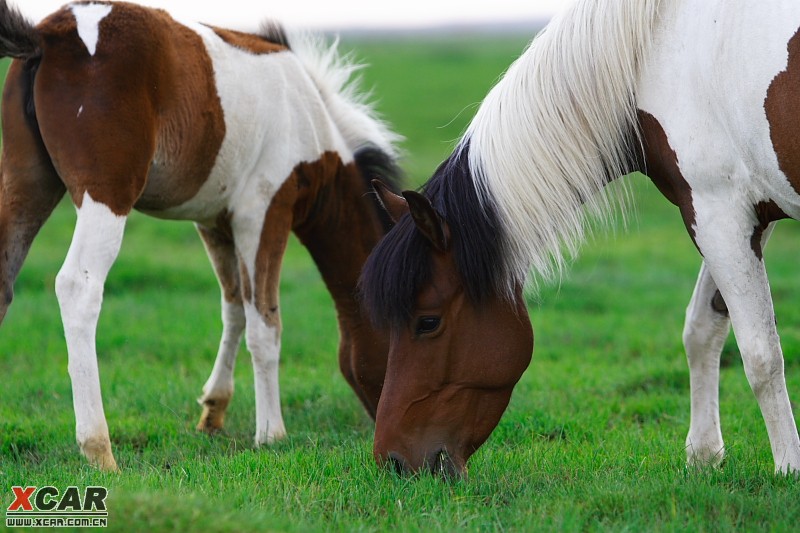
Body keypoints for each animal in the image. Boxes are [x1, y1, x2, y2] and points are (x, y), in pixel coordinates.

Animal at [0, 2, 400, 472]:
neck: (308, 119)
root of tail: (47, 34)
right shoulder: (263, 213)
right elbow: (265, 322)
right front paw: (271, 434)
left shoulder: (215, 222)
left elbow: (235, 309)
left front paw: (214, 410)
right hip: (106, 195)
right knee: (79, 287)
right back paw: (99, 448)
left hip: (27, 185)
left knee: (4, 283)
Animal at [364, 0, 800, 476]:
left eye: (427, 322)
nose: (391, 461)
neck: (656, 55)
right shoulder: (739, 212)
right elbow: (702, 329)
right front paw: (704, 455)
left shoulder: (719, 210)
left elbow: (760, 355)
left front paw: (788, 468)